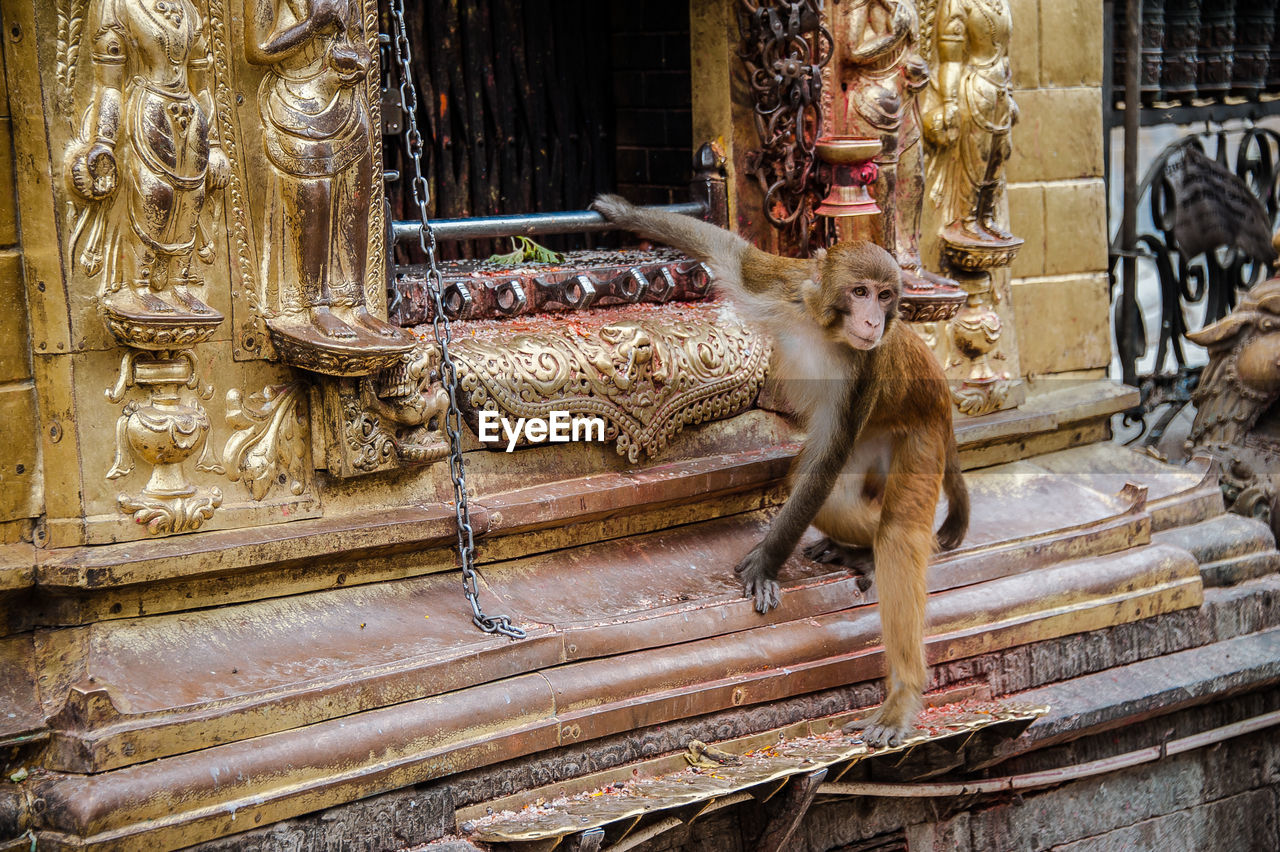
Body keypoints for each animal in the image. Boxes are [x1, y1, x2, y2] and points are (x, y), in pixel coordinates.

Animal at [588, 191, 967, 741]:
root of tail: (941, 395)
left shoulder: (867, 371)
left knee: (896, 530)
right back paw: (859, 550)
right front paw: (624, 214)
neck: (824, 328)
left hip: (921, 433)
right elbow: (730, 253)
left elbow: (827, 459)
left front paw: (767, 562)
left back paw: (901, 693)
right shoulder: (782, 288)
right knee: (832, 499)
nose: (874, 322)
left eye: (885, 296)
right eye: (860, 292)